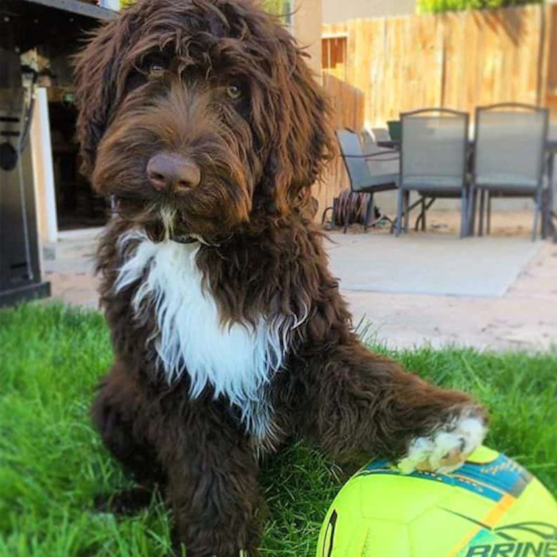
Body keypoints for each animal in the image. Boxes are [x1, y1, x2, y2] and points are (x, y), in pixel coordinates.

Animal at [73, 2, 486, 552]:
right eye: (151, 68)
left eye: (234, 90)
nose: (171, 174)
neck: (198, 246)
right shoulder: (172, 382)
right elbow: (206, 474)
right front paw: (221, 543)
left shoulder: (307, 337)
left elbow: (363, 380)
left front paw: (438, 422)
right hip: (114, 398)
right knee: (151, 473)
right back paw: (123, 502)